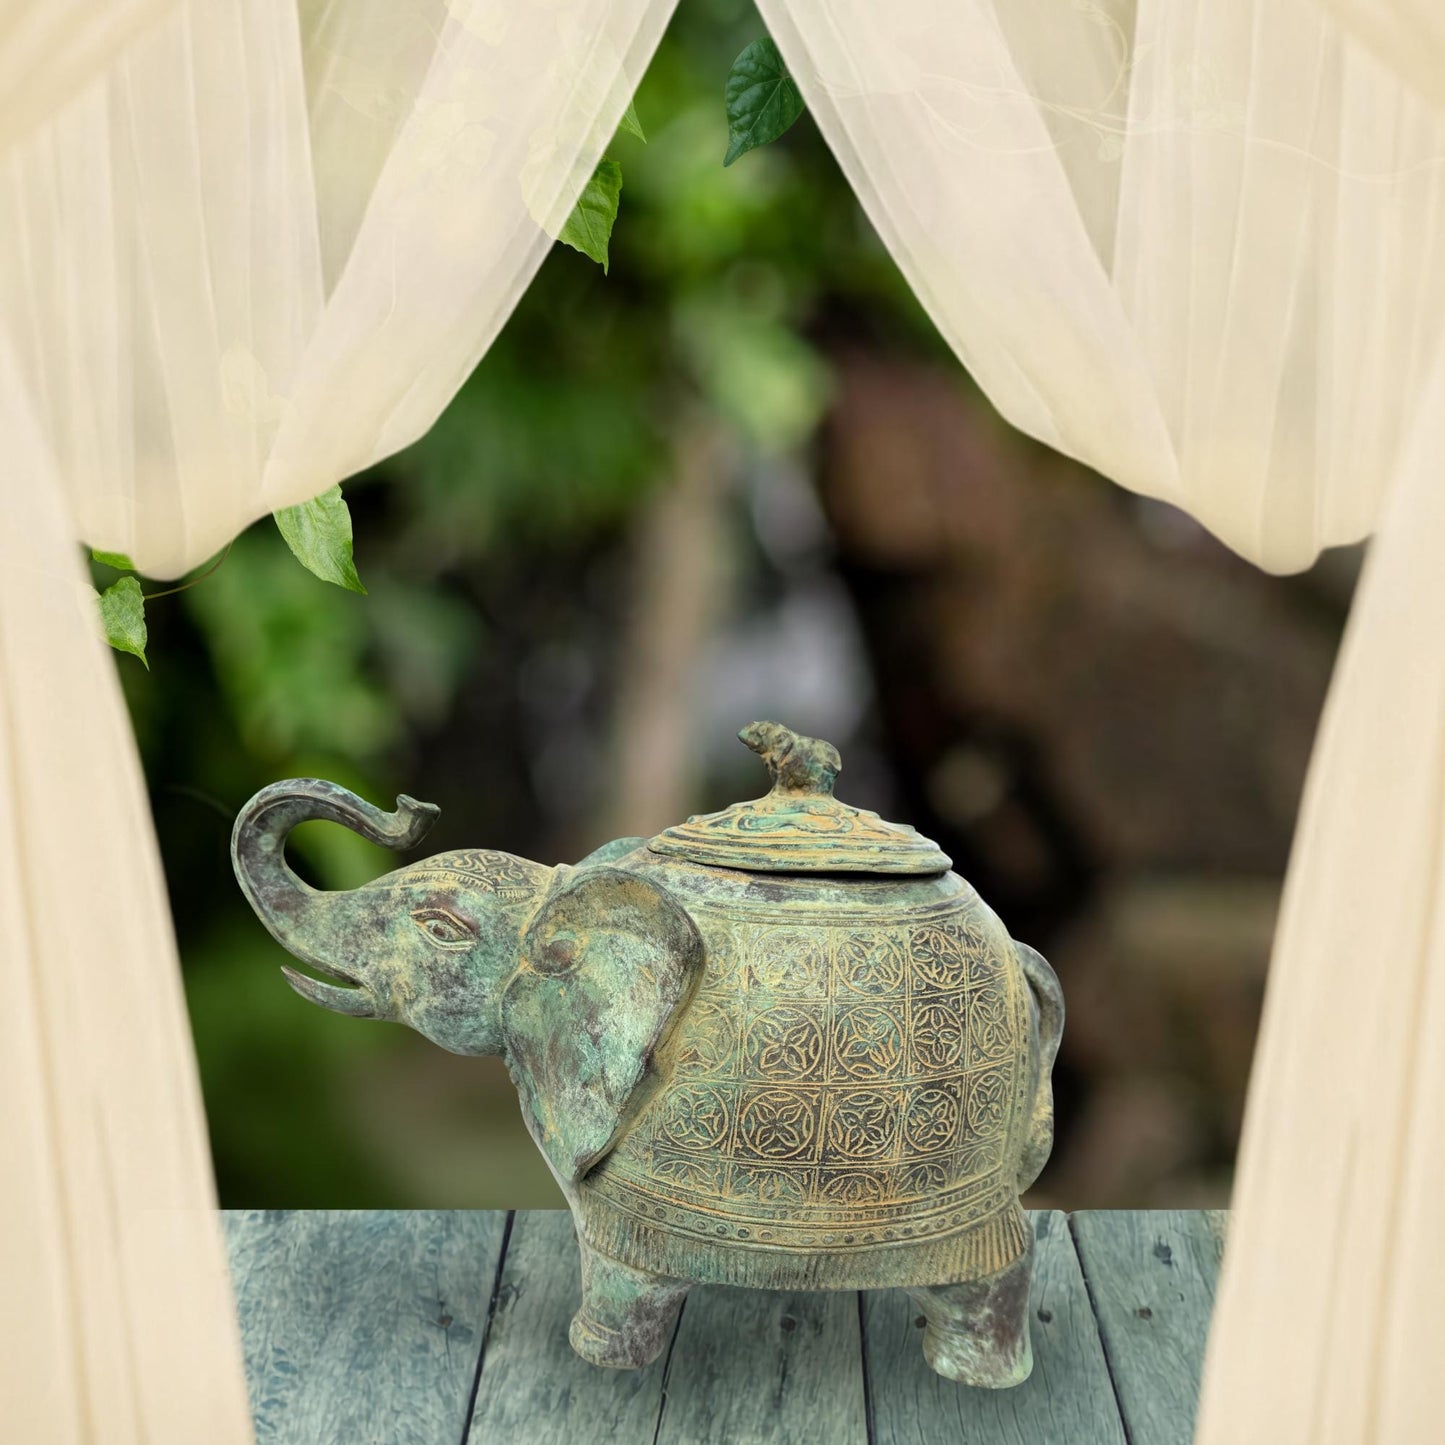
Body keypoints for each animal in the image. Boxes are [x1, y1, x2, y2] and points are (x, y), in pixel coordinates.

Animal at [232, 724, 1064, 1388]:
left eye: (440, 929)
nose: (410, 807)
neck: (571, 894)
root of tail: (1025, 960)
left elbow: (620, 1278)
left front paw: (597, 1360)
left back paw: (983, 1379)